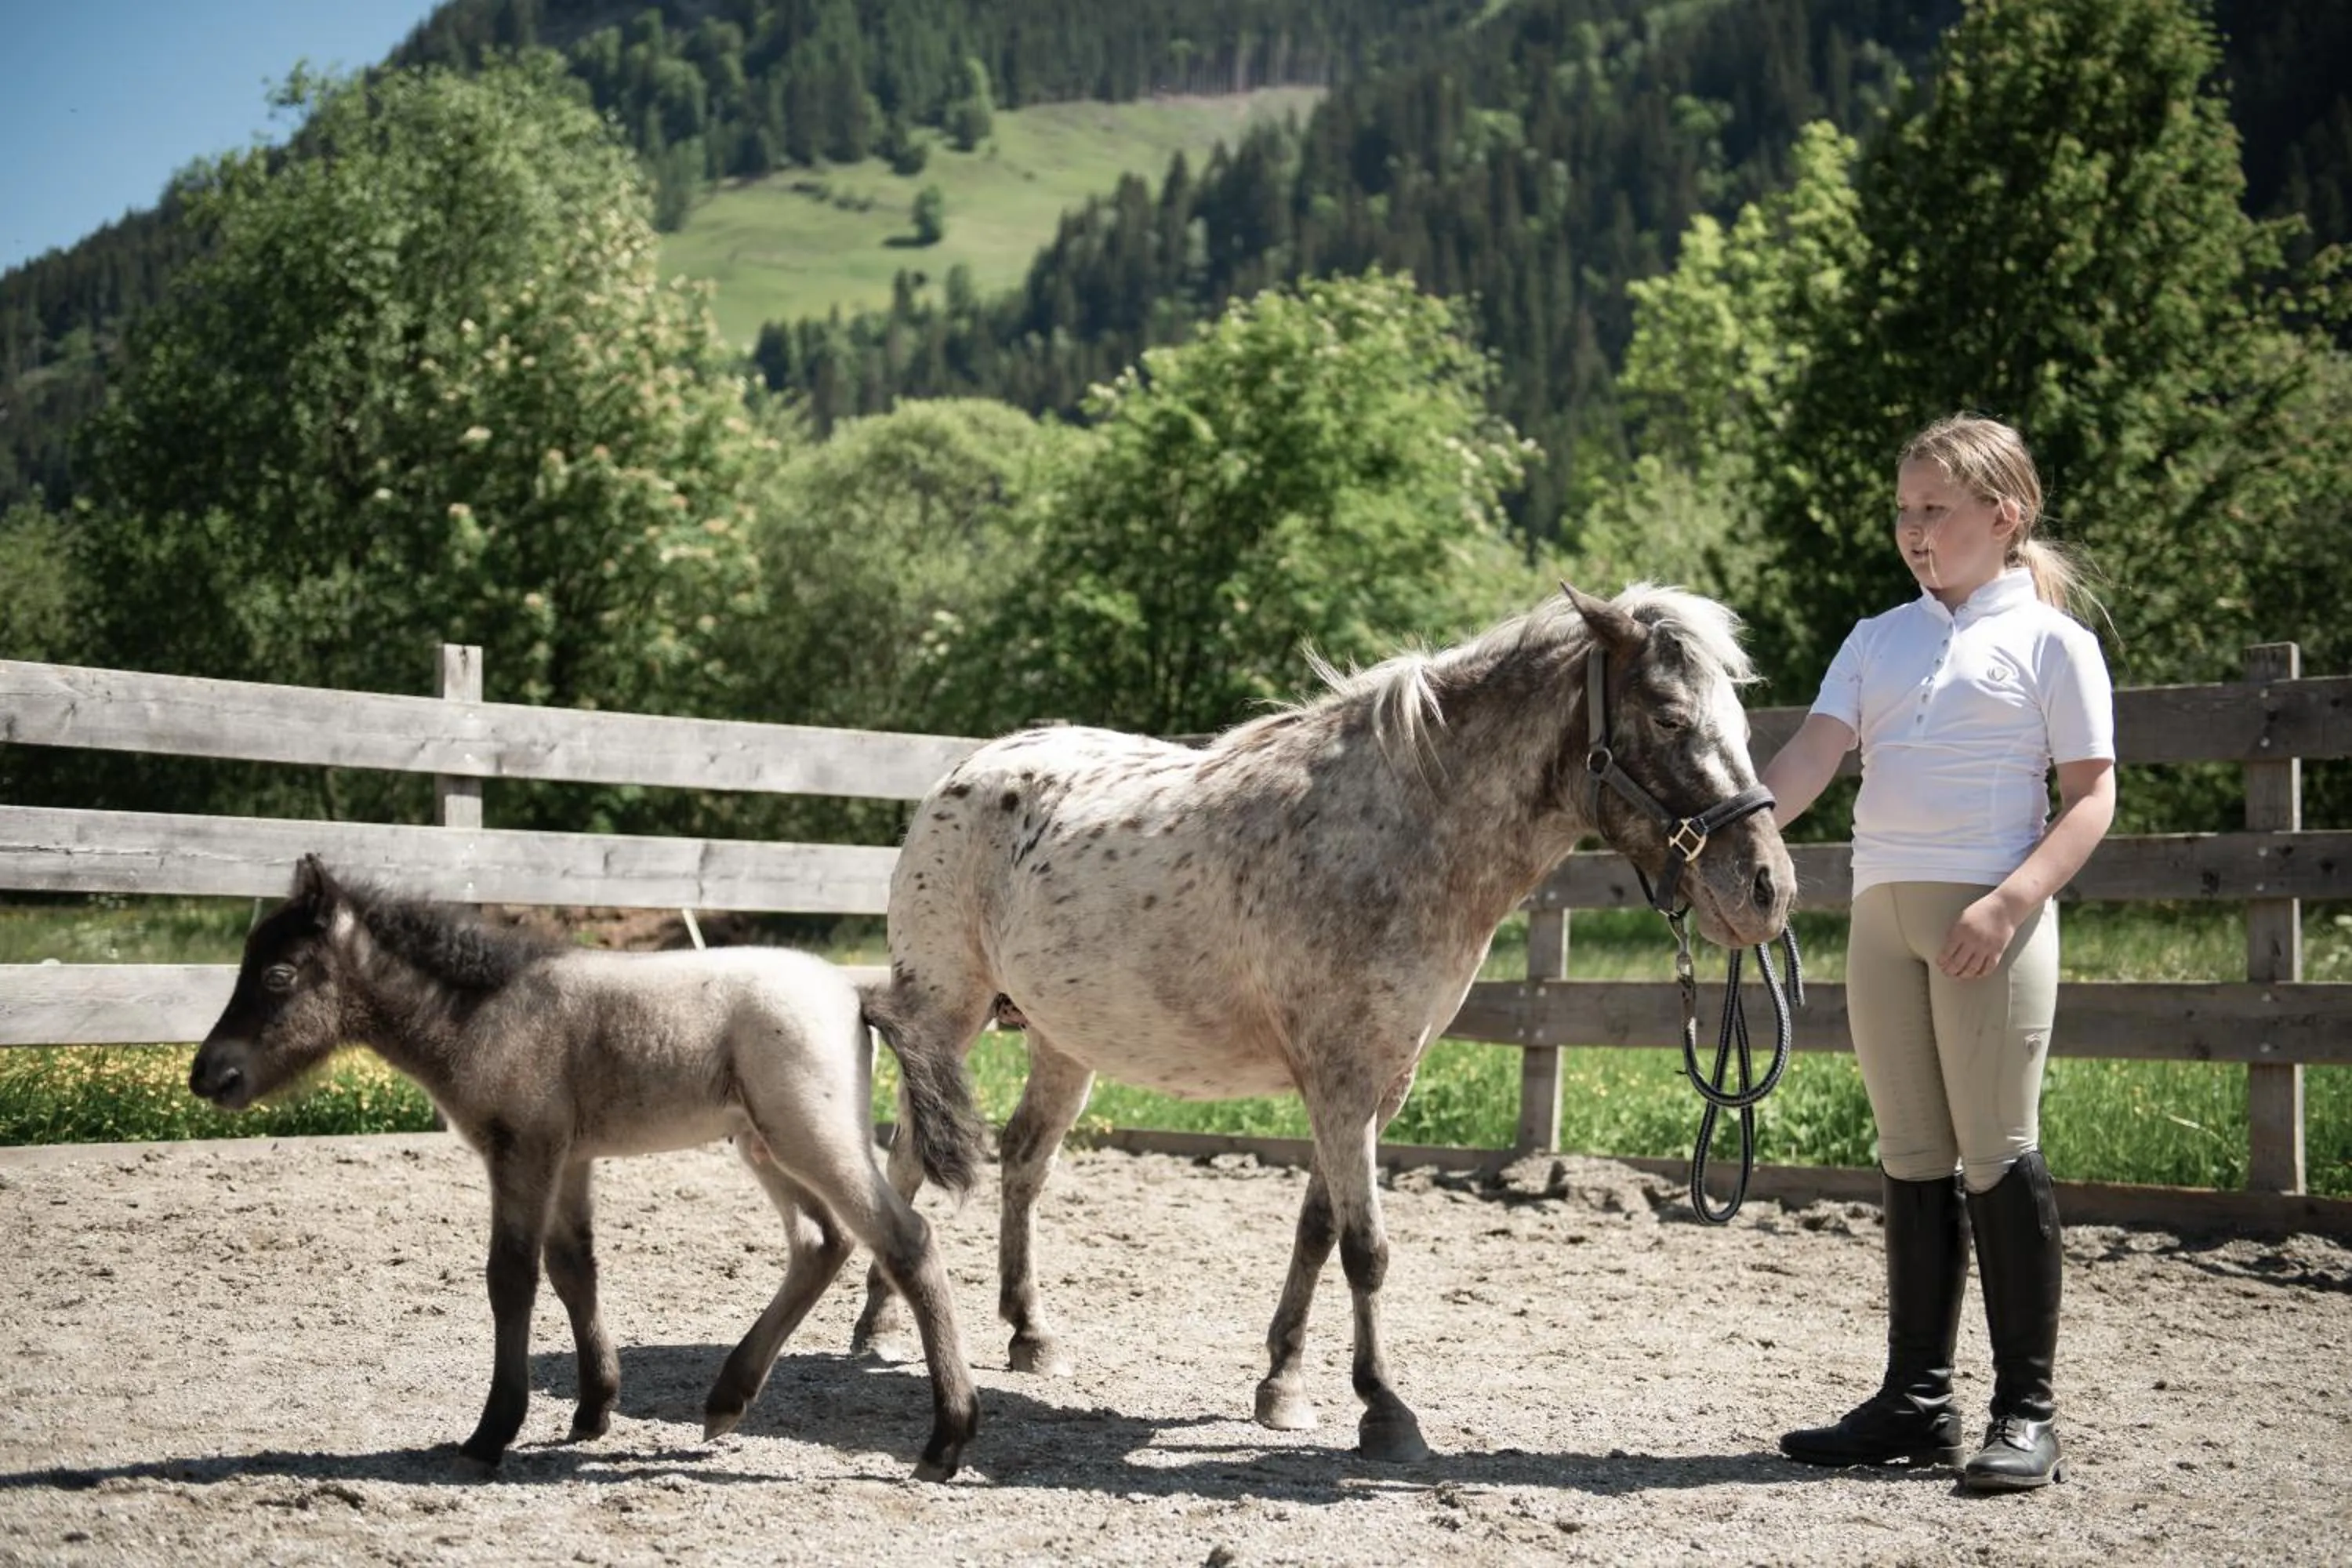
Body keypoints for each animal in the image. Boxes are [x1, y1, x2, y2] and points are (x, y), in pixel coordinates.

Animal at [189, 855, 984, 1481]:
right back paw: (727, 1399)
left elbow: (510, 1277)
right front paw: (593, 1410)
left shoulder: (522, 1151)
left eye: (279, 974)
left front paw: (491, 1434)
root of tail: (854, 994)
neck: (485, 1014)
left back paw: (946, 1441)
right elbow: (574, 1269)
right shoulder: (568, 1159)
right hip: (763, 1144)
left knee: (905, 1241)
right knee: (823, 1243)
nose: (209, 1076)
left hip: (809, 1137)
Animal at [853, 582, 1795, 1462]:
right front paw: (1384, 1409)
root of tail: (966, 772)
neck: (1401, 830)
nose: (1769, 889)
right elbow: (1366, 1246)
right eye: (1669, 715)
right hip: (947, 1012)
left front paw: (1284, 1382)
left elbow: (1319, 1228)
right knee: (908, 1154)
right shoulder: (1341, 1079)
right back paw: (877, 1324)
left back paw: (1030, 1332)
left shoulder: (1375, 1082)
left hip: (1064, 1039)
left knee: (1024, 1159)